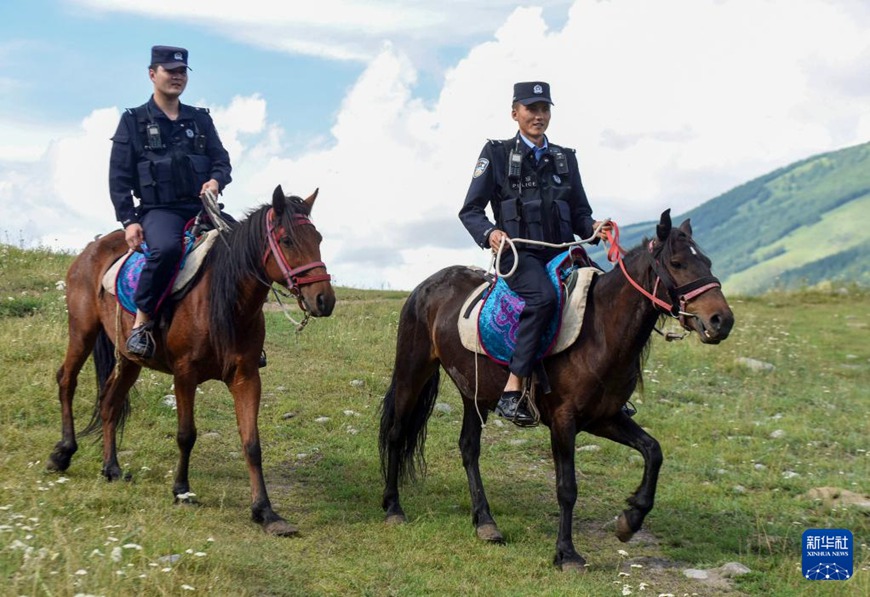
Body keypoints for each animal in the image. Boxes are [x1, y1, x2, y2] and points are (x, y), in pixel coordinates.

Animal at [46, 186, 338, 536]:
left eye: (318, 238)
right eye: (287, 240)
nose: (324, 300)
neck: (223, 299)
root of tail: (92, 249)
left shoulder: (246, 377)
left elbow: (252, 444)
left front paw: (265, 512)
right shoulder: (184, 374)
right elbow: (186, 435)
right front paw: (181, 490)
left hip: (129, 360)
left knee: (109, 404)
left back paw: (111, 468)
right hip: (82, 332)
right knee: (67, 380)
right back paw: (63, 453)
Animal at [382, 210, 736, 568]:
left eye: (707, 261)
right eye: (677, 263)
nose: (721, 320)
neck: (601, 330)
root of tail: (426, 286)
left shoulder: (604, 418)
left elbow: (653, 451)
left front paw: (630, 519)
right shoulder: (564, 421)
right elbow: (567, 487)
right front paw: (566, 553)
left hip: (475, 394)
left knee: (469, 448)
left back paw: (485, 522)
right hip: (413, 372)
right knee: (397, 433)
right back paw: (393, 508)